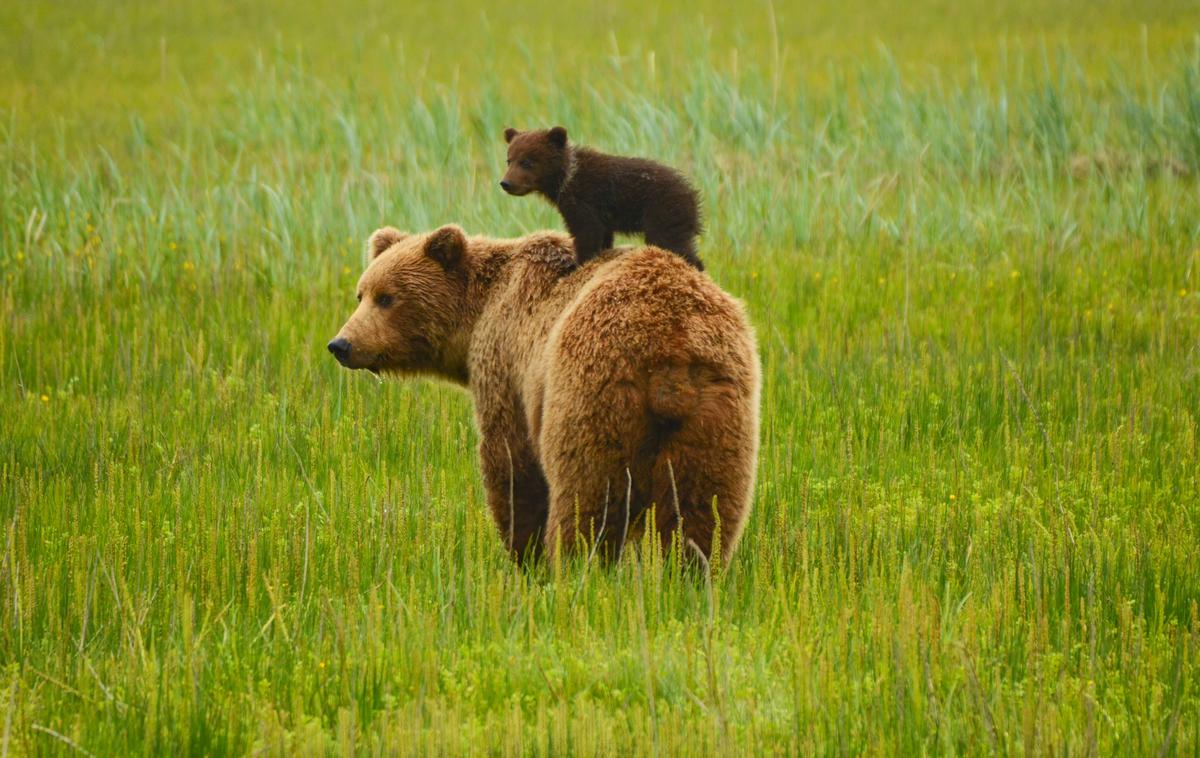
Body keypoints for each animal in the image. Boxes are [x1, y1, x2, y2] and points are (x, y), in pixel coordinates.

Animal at [328, 225, 758, 563]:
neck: (478, 314)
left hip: (591, 394)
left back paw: (576, 569)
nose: (341, 344)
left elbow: (510, 463)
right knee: (703, 506)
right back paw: (688, 574)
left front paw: (524, 553)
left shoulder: (506, 364)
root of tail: (670, 348)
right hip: (717, 411)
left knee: (587, 496)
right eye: (361, 294)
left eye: (387, 297)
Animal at [496, 127, 700, 272]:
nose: (505, 183)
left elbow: (587, 232)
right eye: (509, 159)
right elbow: (603, 237)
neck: (565, 179)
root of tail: (692, 194)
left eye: (527, 161)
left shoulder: (583, 201)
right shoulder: (599, 213)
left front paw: (577, 265)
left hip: (662, 214)